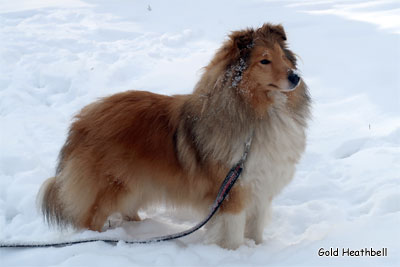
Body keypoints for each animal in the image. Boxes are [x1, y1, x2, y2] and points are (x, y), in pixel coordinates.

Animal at [37, 24, 310, 250]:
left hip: (136, 183)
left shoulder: (261, 190)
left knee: (127, 211)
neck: (259, 114)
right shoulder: (233, 193)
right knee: (90, 220)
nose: (295, 77)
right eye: (264, 61)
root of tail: (80, 122)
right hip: (112, 186)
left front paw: (258, 248)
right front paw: (235, 254)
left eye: (282, 56)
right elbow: (232, 234)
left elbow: (256, 230)